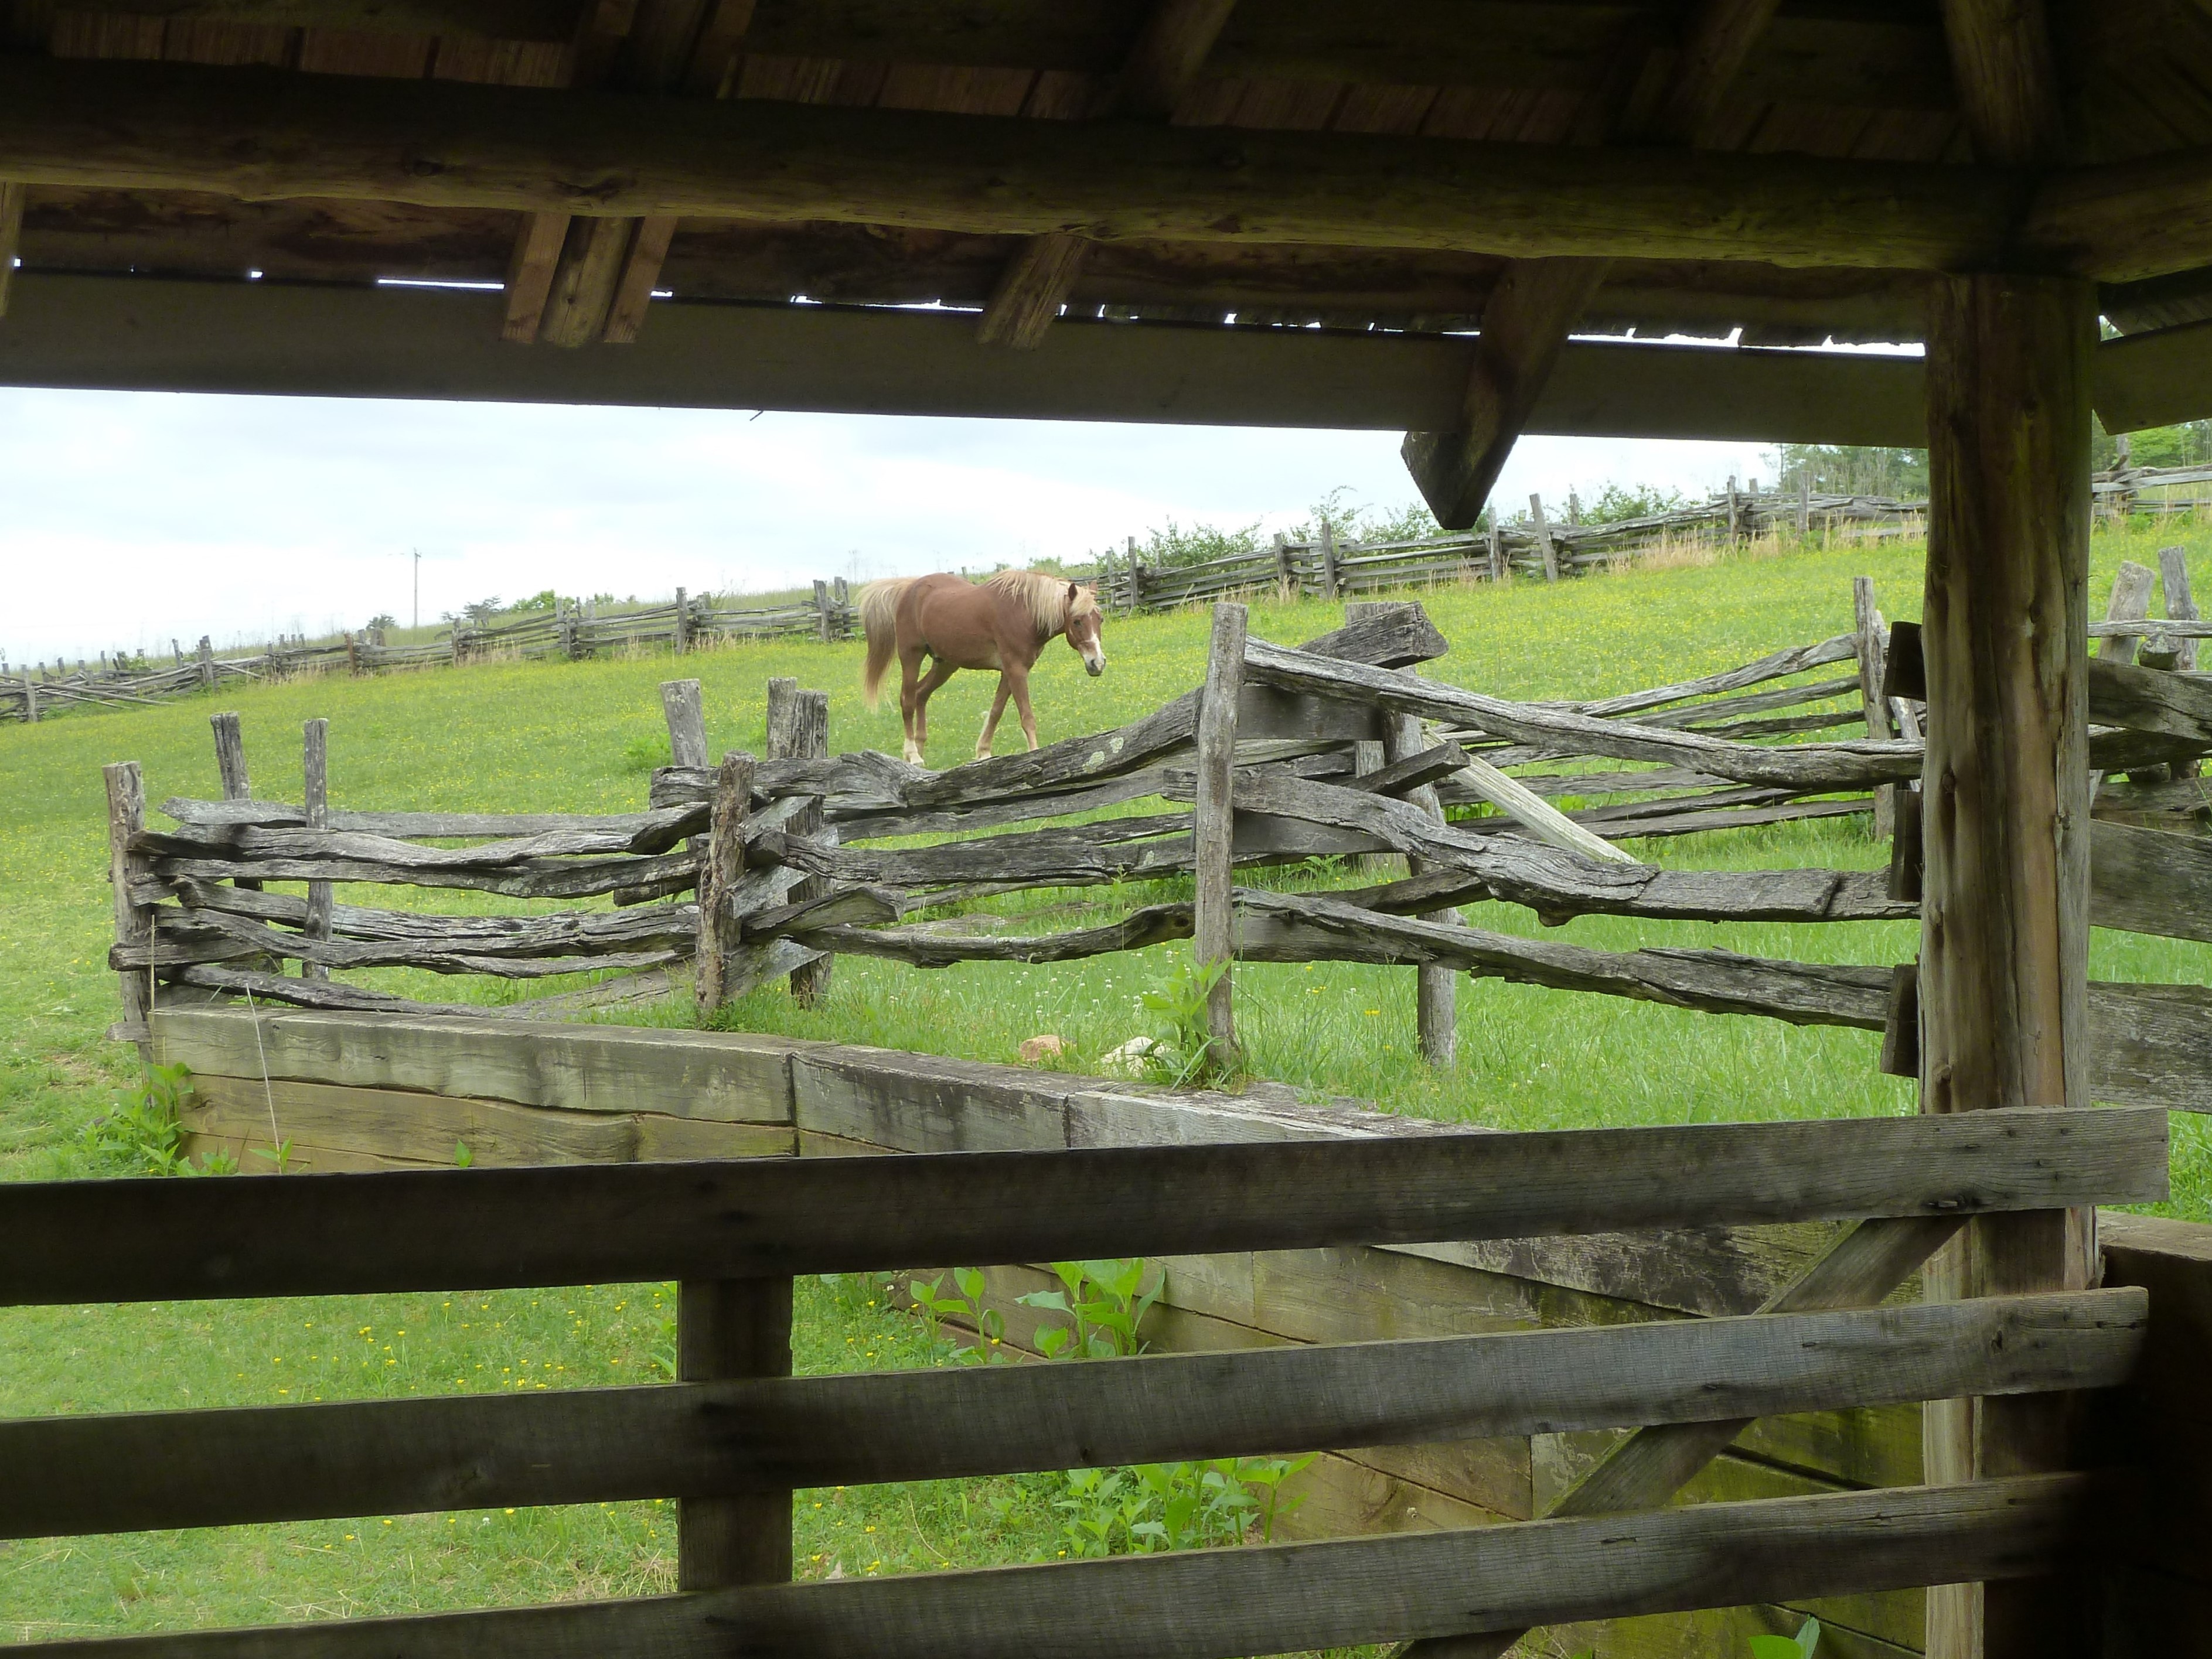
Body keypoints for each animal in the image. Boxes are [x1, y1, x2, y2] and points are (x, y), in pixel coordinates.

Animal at [860, 571, 1106, 765]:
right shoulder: (1016, 670)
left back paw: (919, 751)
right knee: (908, 700)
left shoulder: (1010, 671)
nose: (1098, 663)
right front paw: (1035, 754)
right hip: (912, 656)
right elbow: (1027, 717)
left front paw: (983, 752)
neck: (1025, 612)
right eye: (1077, 621)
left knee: (921, 694)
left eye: (1100, 619)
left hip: (946, 664)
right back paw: (913, 754)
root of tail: (909, 588)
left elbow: (996, 712)